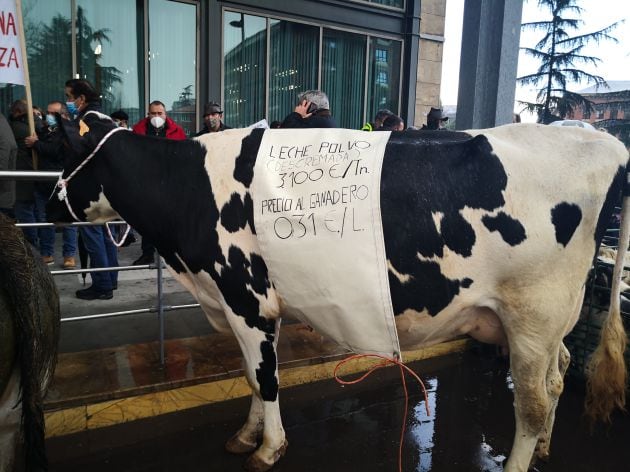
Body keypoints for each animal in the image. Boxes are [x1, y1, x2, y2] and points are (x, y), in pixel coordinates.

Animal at [47, 115, 628, 472]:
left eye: (72, 157)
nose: (51, 202)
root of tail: (604, 143)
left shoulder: (246, 298)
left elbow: (265, 380)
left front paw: (268, 448)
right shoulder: (250, 306)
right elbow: (252, 378)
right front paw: (246, 435)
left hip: (533, 314)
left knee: (532, 401)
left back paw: (520, 459)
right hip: (552, 322)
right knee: (558, 377)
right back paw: (547, 446)